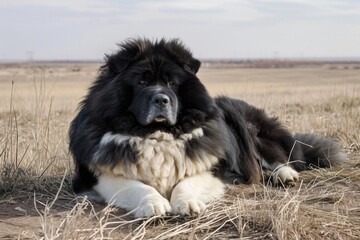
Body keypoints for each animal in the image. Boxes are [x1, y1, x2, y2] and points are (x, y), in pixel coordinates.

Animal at [69, 37, 348, 218]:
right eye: (141, 82)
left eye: (171, 82)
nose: (161, 99)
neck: (157, 134)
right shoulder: (97, 177)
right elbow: (134, 185)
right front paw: (154, 204)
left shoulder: (216, 169)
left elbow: (187, 182)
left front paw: (188, 204)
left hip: (244, 121)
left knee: (277, 156)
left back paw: (285, 175)